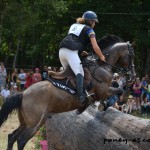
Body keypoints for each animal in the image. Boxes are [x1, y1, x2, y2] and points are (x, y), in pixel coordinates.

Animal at [0, 34, 136, 150]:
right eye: (131, 55)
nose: (133, 76)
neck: (101, 66)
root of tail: (23, 94)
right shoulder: (103, 91)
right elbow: (119, 90)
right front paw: (105, 104)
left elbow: (118, 88)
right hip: (33, 124)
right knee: (21, 140)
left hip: (26, 122)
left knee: (12, 137)